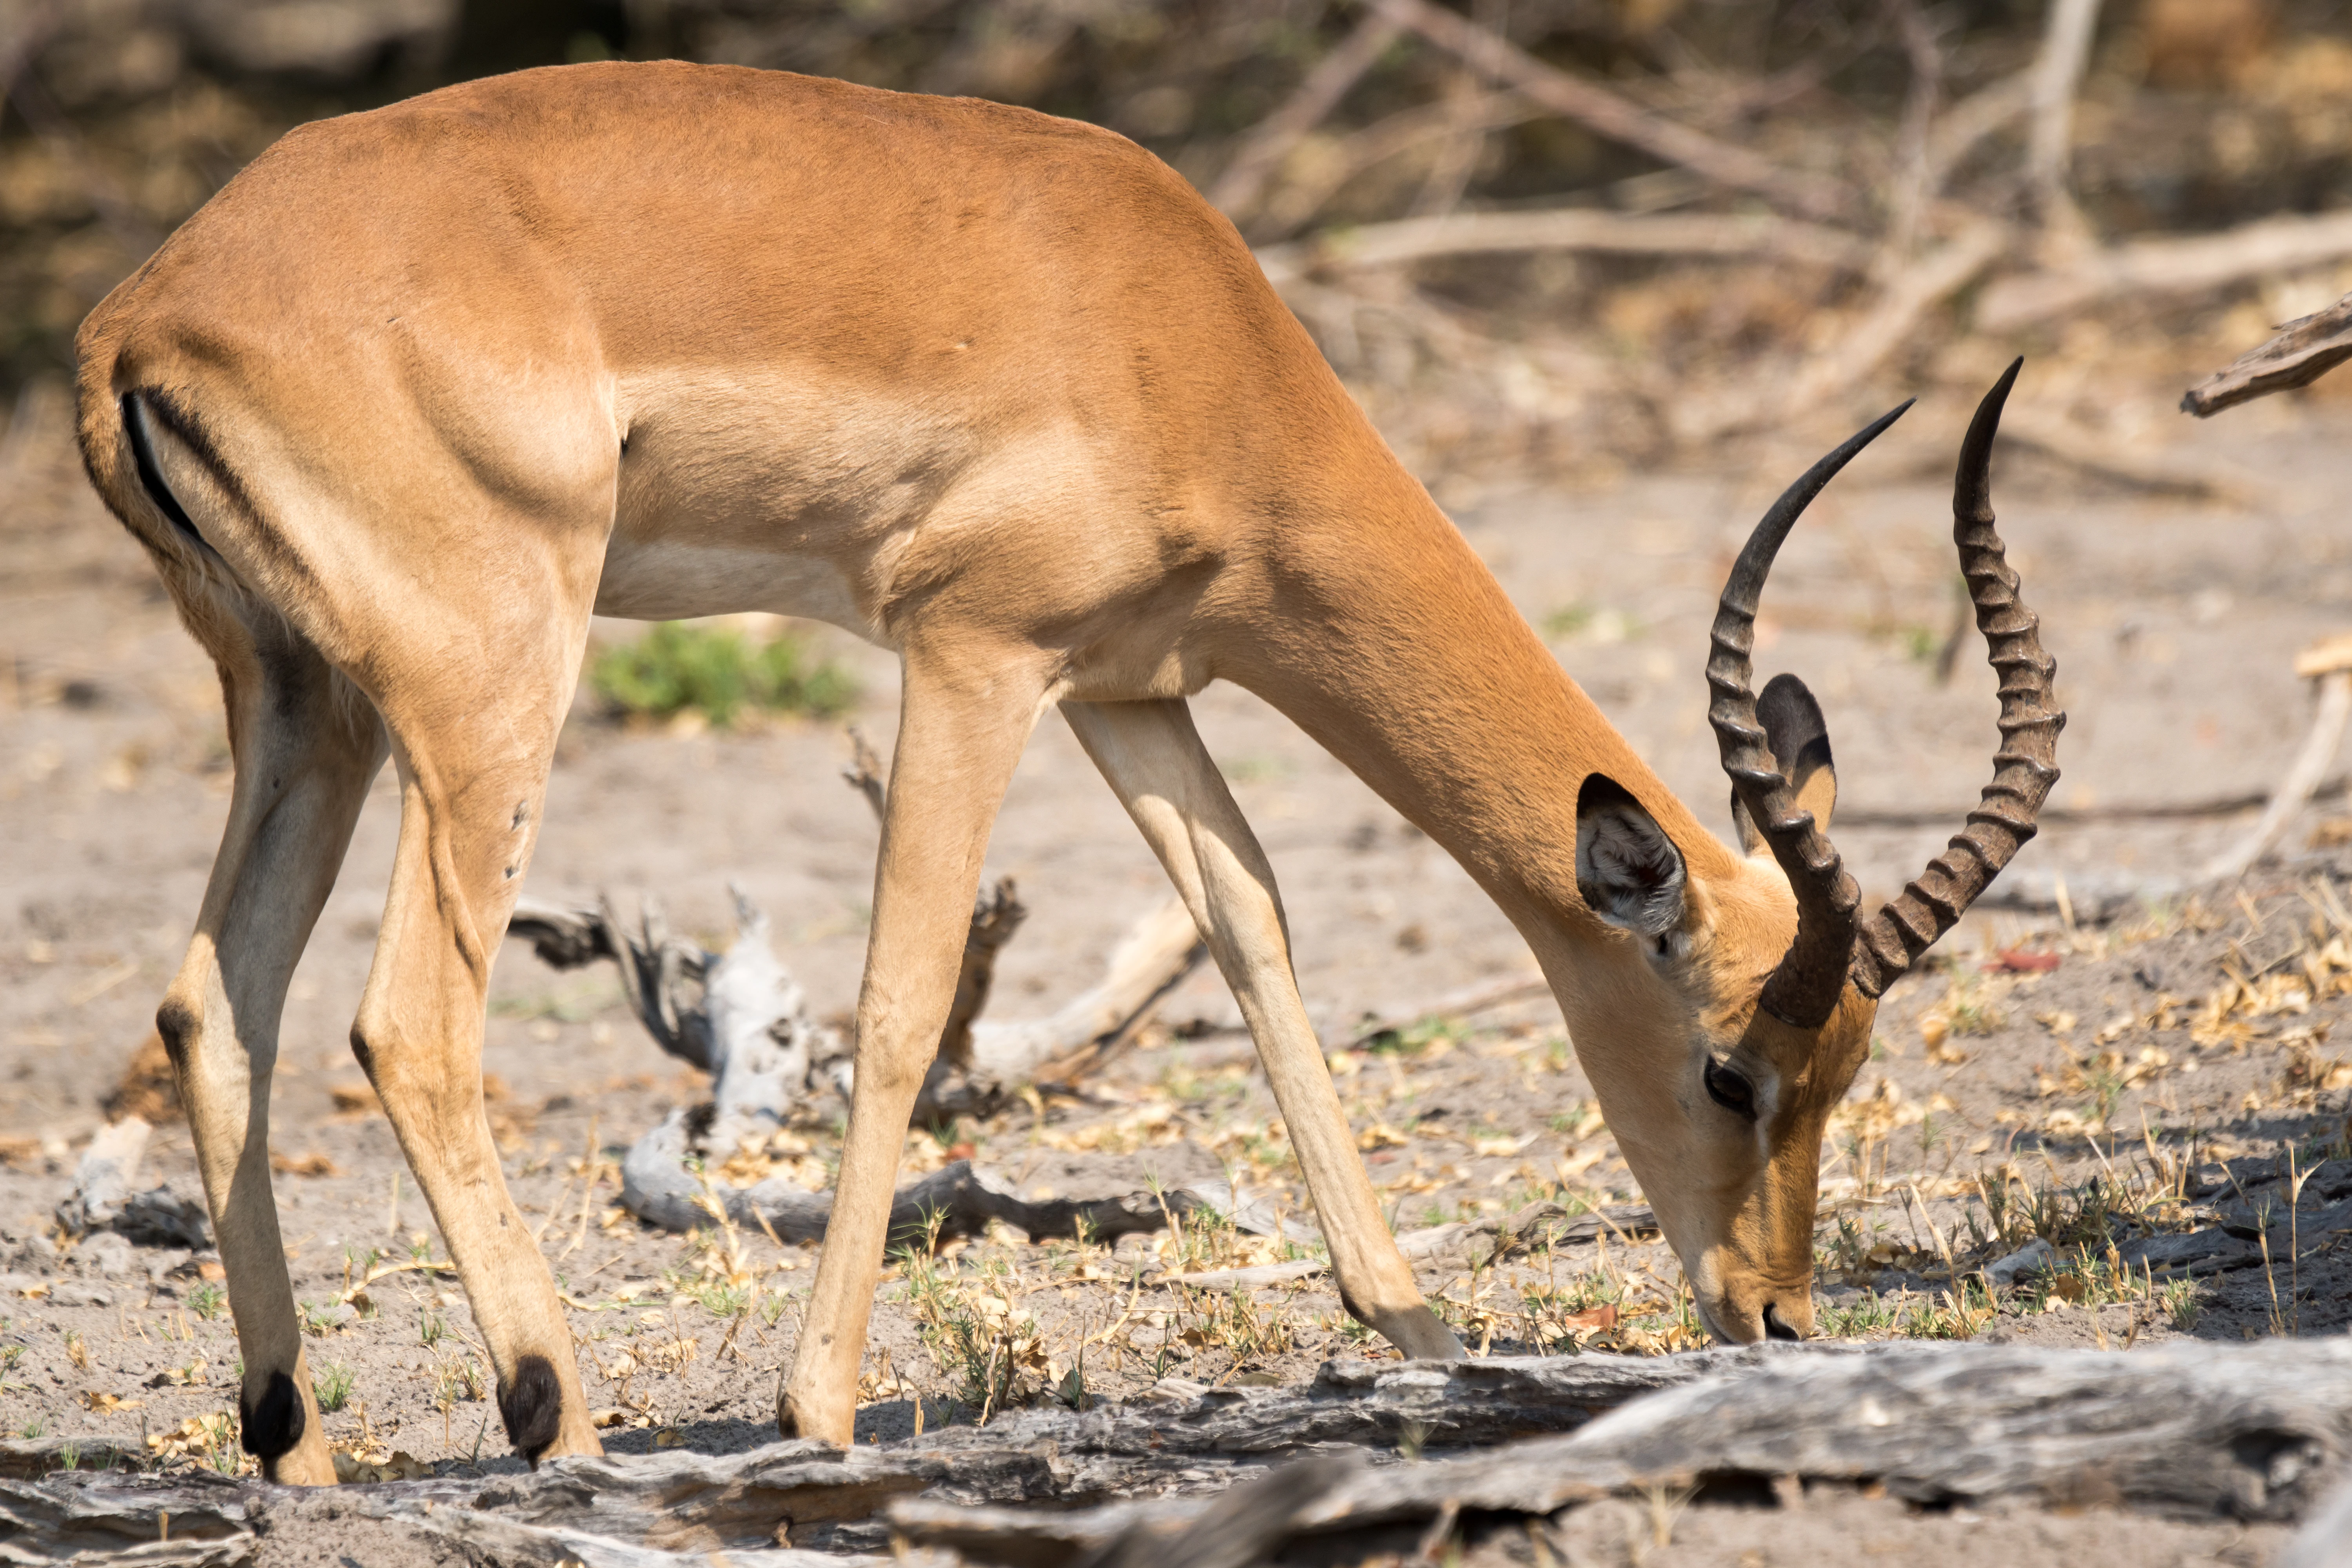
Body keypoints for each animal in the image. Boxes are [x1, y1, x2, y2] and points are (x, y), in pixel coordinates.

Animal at [72, 60, 2059, 1482]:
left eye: (1849, 1068)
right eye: (1733, 1069)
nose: (1775, 1314)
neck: (1177, 330)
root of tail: (138, 316)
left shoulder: (1133, 687)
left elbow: (1254, 926)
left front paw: (1416, 1332)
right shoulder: (974, 653)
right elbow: (898, 996)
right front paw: (813, 1409)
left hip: (304, 703)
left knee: (211, 1004)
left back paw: (299, 1450)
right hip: (492, 687)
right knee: (407, 1020)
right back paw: (562, 1421)